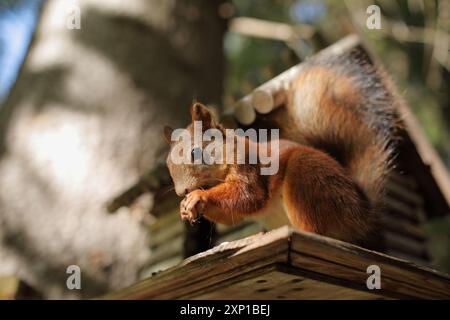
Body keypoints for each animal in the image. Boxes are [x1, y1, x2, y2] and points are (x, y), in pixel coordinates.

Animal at [163, 50, 402, 244]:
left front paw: (198, 197)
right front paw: (185, 208)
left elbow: (248, 196)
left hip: (307, 177)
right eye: (167, 164)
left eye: (195, 152)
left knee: (317, 230)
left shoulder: (248, 165)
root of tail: (362, 216)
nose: (181, 191)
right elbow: (235, 215)